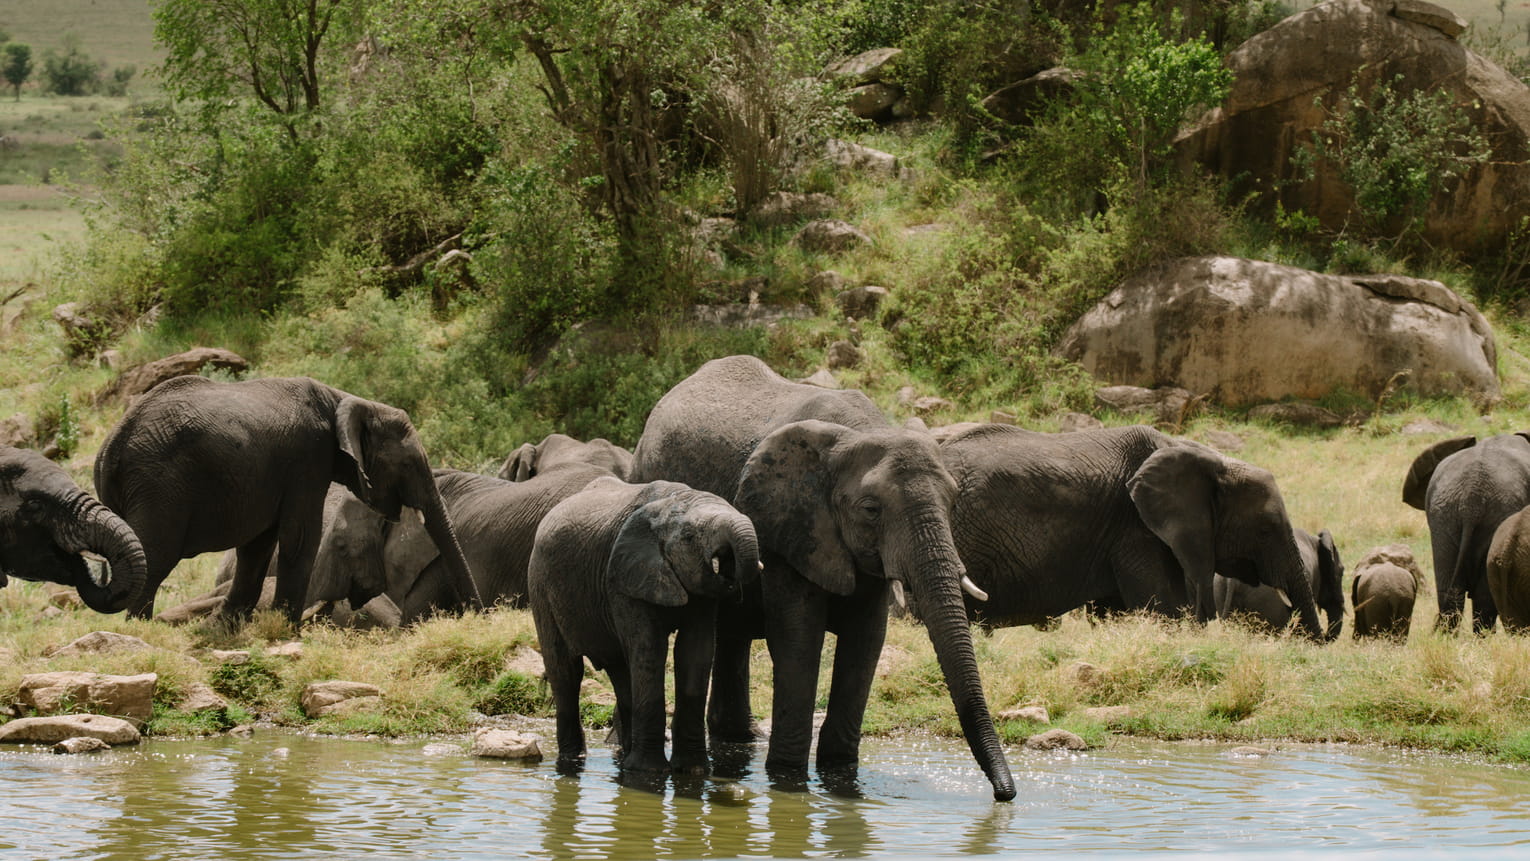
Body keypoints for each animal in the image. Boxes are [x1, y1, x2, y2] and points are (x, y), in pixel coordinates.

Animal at [93, 375, 481, 622]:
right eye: (407, 463)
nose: (478, 615)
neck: (344, 399)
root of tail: (111, 444)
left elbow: (259, 545)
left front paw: (230, 625)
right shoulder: (307, 459)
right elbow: (300, 538)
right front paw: (285, 628)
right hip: (159, 484)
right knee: (155, 556)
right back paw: (139, 629)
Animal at [529, 477, 761, 775]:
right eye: (689, 537)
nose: (727, 568)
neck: (673, 501)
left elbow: (695, 653)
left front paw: (693, 771)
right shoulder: (623, 579)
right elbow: (650, 647)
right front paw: (649, 773)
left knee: (619, 669)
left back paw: (624, 757)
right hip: (540, 586)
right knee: (566, 671)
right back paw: (573, 761)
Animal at [629, 355, 1016, 801]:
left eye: (953, 501)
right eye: (871, 509)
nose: (1005, 795)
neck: (861, 432)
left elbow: (866, 640)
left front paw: (841, 775)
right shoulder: (787, 527)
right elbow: (799, 638)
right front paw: (788, 778)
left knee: (731, 634)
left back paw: (739, 739)